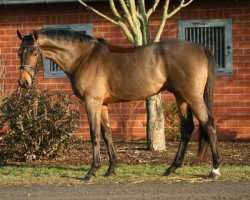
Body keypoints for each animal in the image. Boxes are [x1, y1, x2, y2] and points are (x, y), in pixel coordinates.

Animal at [16, 28, 222, 181]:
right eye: (19, 53)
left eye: (35, 52)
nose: (24, 82)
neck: (84, 58)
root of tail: (200, 47)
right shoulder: (103, 105)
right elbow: (107, 134)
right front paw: (111, 168)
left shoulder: (92, 102)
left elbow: (94, 135)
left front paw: (92, 171)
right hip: (181, 97)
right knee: (187, 128)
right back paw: (171, 168)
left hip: (192, 96)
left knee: (209, 125)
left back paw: (214, 169)